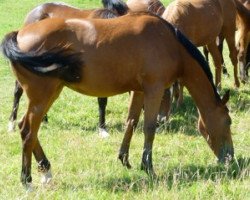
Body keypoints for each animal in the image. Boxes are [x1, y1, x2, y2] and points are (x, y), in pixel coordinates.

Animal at [0, 12, 233, 189]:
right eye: (228, 122)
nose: (230, 158)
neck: (169, 43)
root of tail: (19, 34)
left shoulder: (139, 91)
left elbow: (131, 122)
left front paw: (125, 159)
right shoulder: (154, 89)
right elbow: (149, 128)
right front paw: (148, 167)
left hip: (49, 94)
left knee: (28, 130)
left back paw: (46, 170)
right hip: (42, 97)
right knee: (28, 131)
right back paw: (27, 181)